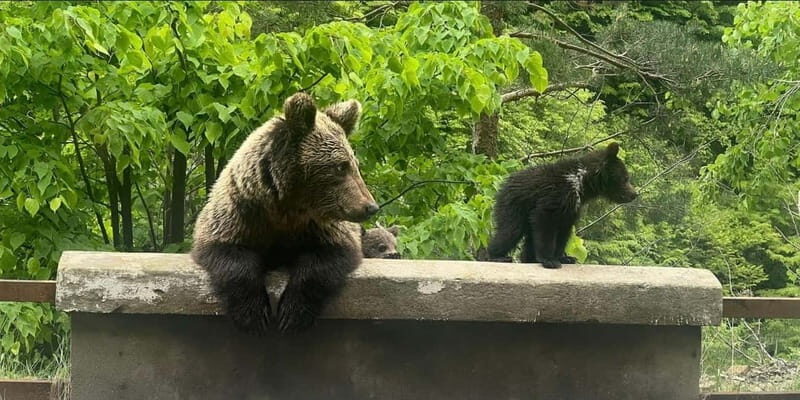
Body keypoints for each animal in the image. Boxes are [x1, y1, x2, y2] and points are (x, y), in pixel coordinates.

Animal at [191, 92, 379, 334]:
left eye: (355, 164)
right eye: (340, 166)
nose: (370, 206)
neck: (285, 208)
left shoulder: (320, 225)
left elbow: (328, 256)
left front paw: (292, 313)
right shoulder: (240, 212)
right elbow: (228, 252)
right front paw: (254, 313)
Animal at [487, 142, 637, 269]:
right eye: (625, 178)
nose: (634, 194)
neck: (582, 183)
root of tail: (504, 184)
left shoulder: (572, 208)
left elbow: (564, 231)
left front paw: (565, 258)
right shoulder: (556, 196)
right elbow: (544, 222)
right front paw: (549, 260)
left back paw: (528, 258)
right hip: (514, 204)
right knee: (510, 229)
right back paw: (497, 256)